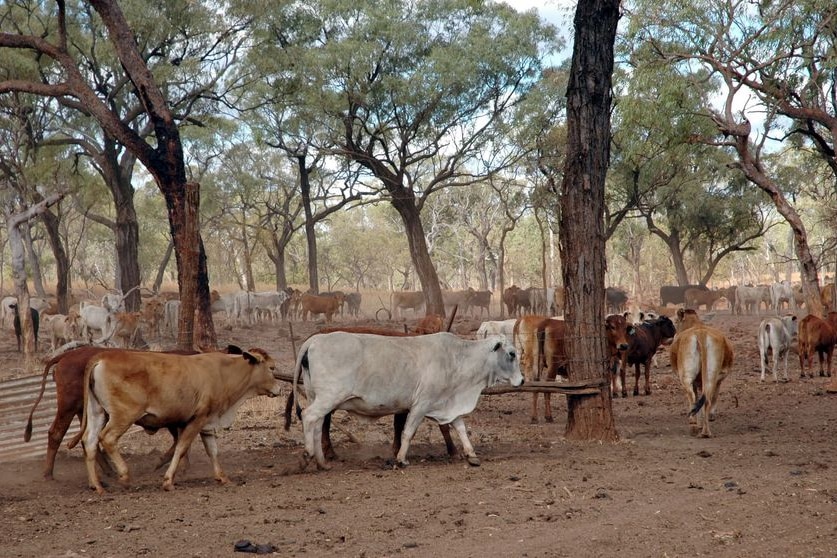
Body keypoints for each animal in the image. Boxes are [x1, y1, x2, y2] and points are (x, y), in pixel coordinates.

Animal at [290, 332, 520, 472]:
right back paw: (307, 455)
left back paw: (322, 463)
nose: (522, 380)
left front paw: (472, 455)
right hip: (328, 397)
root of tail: (315, 339)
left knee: (317, 425)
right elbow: (408, 432)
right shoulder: (421, 404)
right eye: (511, 353)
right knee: (308, 417)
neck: (458, 360)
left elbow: (461, 428)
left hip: (317, 397)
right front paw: (401, 459)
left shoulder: (448, 405)